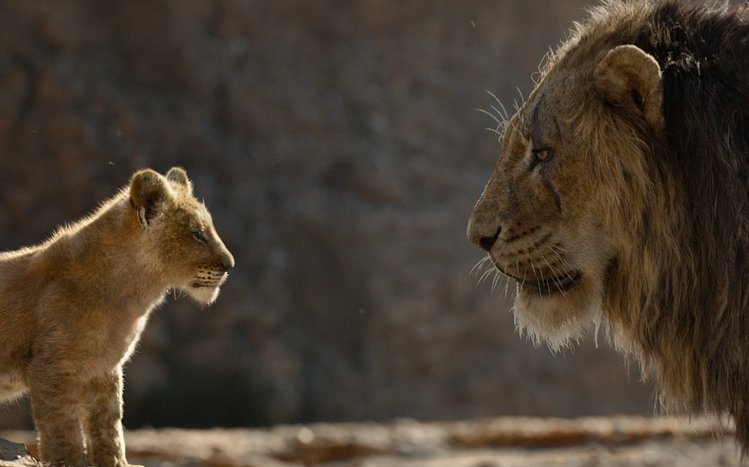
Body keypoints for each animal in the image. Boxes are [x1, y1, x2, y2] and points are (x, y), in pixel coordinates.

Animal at [0, 167, 234, 466]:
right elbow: (62, 430)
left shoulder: (104, 370)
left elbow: (108, 427)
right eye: (197, 233)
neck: (133, 295)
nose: (230, 265)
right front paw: (70, 460)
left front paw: (116, 462)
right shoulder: (50, 369)